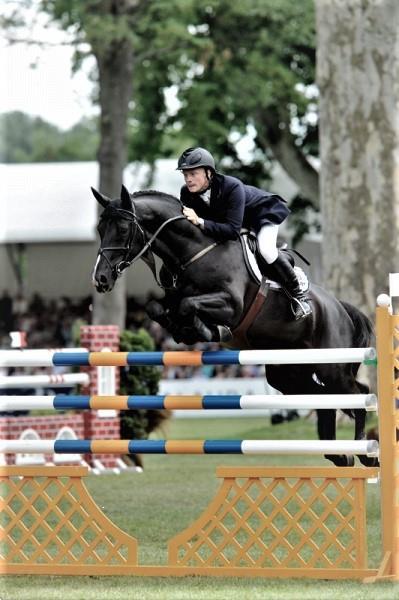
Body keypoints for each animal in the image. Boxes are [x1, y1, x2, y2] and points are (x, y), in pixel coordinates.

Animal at [92, 186, 376, 468]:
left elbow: (187, 305)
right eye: (100, 229)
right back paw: (339, 455)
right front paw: (185, 331)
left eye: (123, 229)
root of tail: (341, 308)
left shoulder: (231, 305)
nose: (101, 279)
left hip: (331, 366)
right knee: (322, 397)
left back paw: (366, 454)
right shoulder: (171, 299)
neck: (192, 252)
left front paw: (209, 330)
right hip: (288, 371)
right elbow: (157, 308)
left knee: (358, 393)